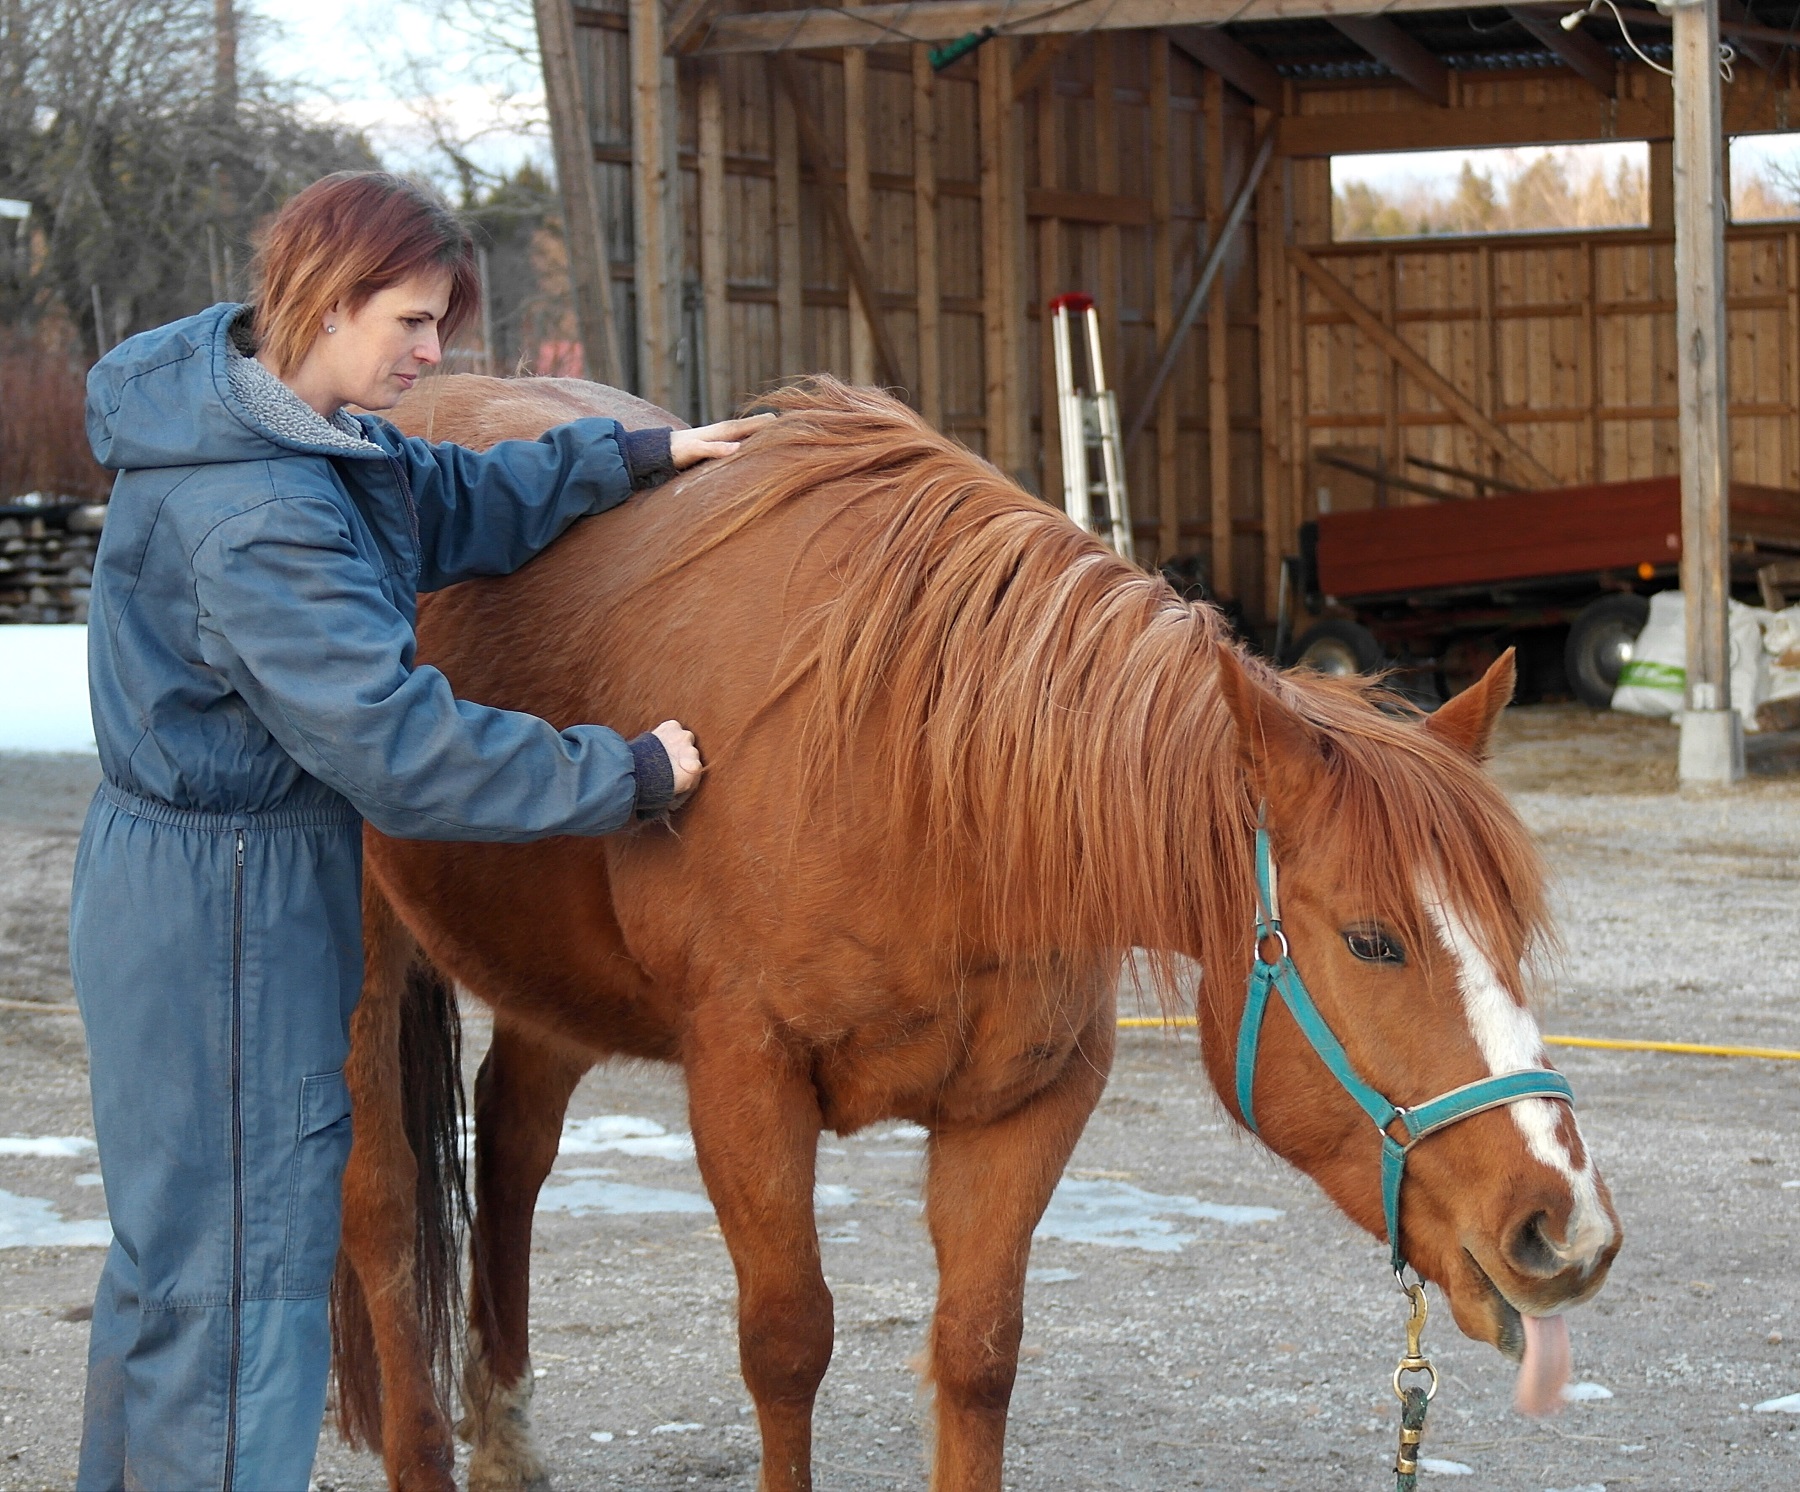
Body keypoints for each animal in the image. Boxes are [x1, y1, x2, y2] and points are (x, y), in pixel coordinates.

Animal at [331, 372, 1627, 1490]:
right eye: (1371, 941)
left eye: (1511, 935)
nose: (1568, 1229)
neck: (921, 775)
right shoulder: (743, 1078)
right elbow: (788, 1343)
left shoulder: (1027, 1102)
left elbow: (979, 1351)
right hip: (361, 972)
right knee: (384, 1204)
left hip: (551, 983)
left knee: (509, 1147)